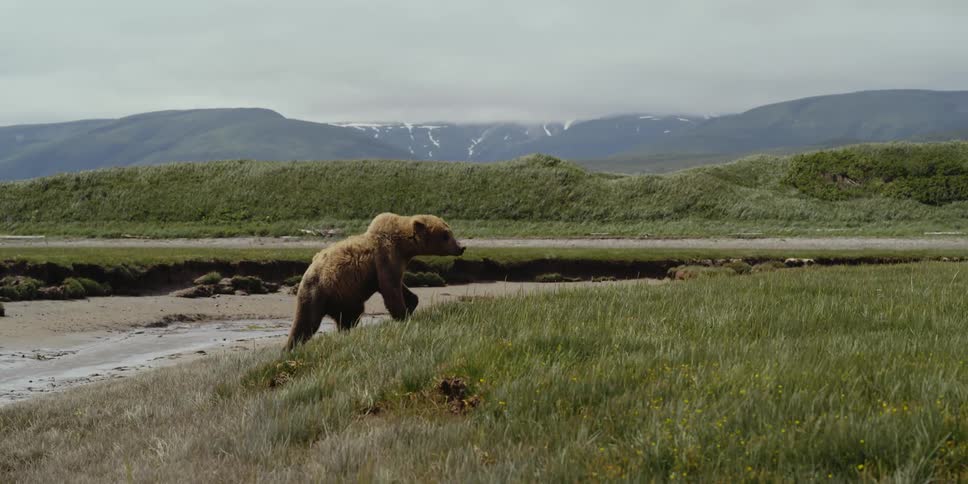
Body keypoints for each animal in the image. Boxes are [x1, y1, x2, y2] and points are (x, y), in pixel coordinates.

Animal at [284, 213, 464, 350]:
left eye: (449, 231)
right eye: (446, 235)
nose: (461, 247)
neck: (403, 246)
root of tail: (307, 271)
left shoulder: (394, 263)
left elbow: (399, 285)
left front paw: (411, 303)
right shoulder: (385, 256)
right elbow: (390, 288)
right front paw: (403, 317)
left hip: (345, 297)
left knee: (349, 317)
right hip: (319, 291)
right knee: (307, 321)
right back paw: (290, 347)